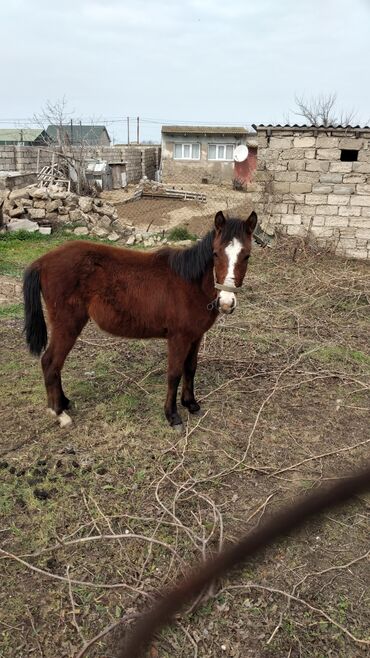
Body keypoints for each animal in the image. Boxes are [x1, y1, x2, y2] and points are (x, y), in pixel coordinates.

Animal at [23, 208, 258, 428]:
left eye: (247, 256)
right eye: (216, 254)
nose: (226, 303)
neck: (190, 283)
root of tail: (42, 261)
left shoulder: (196, 336)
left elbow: (190, 368)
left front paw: (190, 404)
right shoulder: (178, 337)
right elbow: (174, 373)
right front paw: (172, 416)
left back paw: (64, 403)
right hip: (67, 324)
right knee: (50, 362)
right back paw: (58, 413)